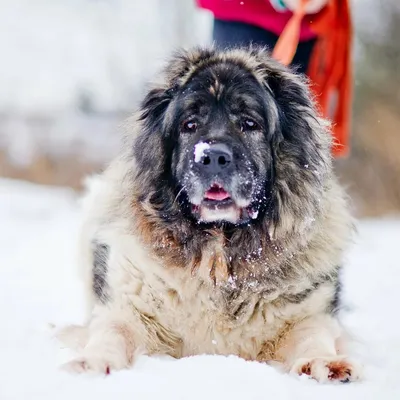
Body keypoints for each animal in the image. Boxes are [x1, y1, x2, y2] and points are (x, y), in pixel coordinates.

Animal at [58, 45, 362, 382]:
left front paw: (323, 362)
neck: (219, 258)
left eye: (249, 123)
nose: (213, 156)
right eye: (189, 125)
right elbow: (112, 331)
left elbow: (312, 334)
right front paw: (93, 362)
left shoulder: (308, 313)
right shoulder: (126, 308)